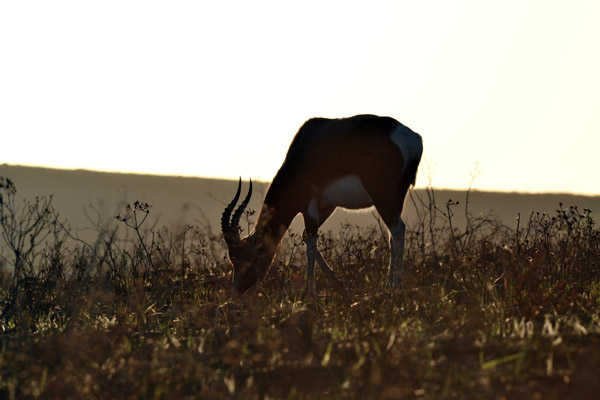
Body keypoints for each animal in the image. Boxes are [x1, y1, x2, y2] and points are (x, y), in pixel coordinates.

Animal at [220, 114, 422, 296]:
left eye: (241, 258)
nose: (237, 294)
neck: (302, 151)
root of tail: (412, 138)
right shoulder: (326, 206)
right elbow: (307, 237)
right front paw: (336, 283)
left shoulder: (309, 205)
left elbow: (310, 243)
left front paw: (309, 293)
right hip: (398, 196)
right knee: (392, 235)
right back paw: (389, 287)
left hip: (382, 196)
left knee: (398, 229)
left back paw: (395, 288)